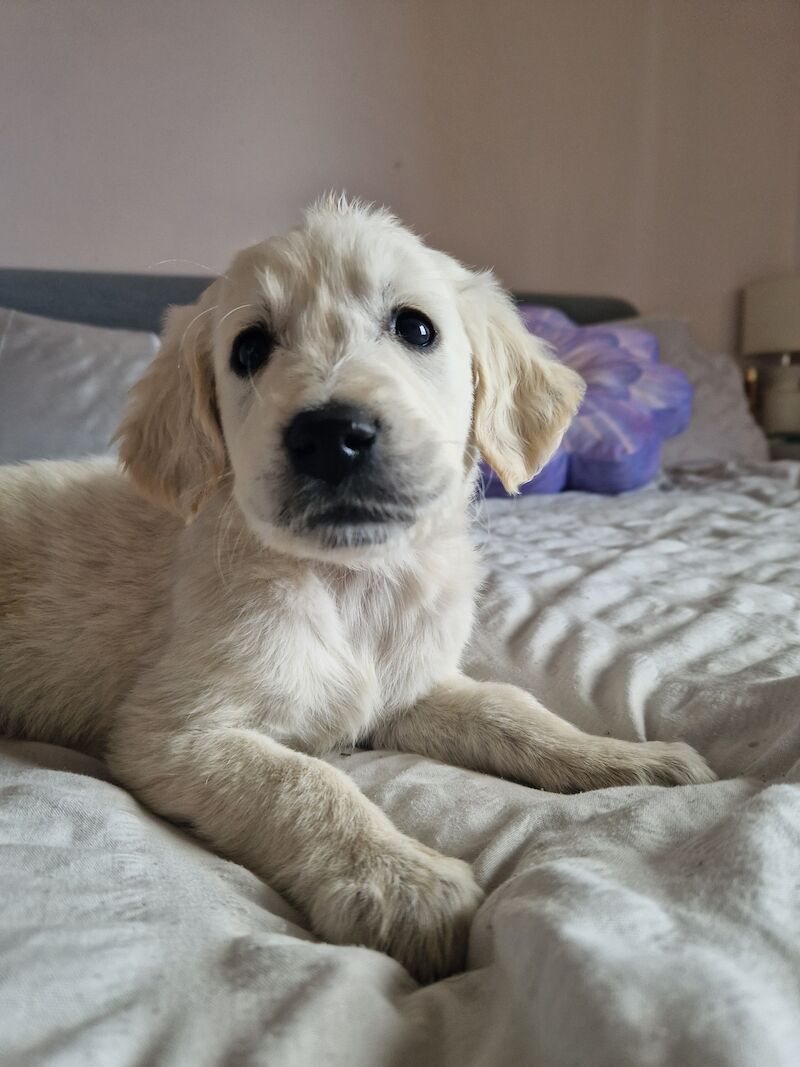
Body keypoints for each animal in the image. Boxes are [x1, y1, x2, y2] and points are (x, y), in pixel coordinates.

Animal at [0, 196, 712, 977]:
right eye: (248, 349)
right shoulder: (173, 731)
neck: (351, 586)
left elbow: (511, 708)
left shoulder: (410, 691)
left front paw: (624, 758)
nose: (330, 435)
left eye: (416, 327)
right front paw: (400, 881)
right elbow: (306, 782)